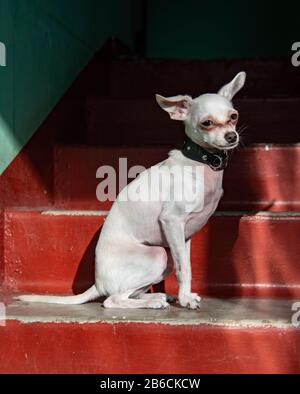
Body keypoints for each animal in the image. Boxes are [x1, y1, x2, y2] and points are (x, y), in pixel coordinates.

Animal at [17, 72, 245, 310]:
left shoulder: (185, 236)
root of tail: (98, 283)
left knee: (130, 294)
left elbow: (186, 263)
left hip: (165, 257)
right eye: (206, 123)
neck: (201, 162)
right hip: (159, 254)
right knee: (112, 300)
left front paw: (185, 295)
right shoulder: (172, 221)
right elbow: (185, 269)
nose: (232, 136)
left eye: (233, 116)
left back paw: (159, 296)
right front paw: (185, 299)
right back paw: (154, 302)